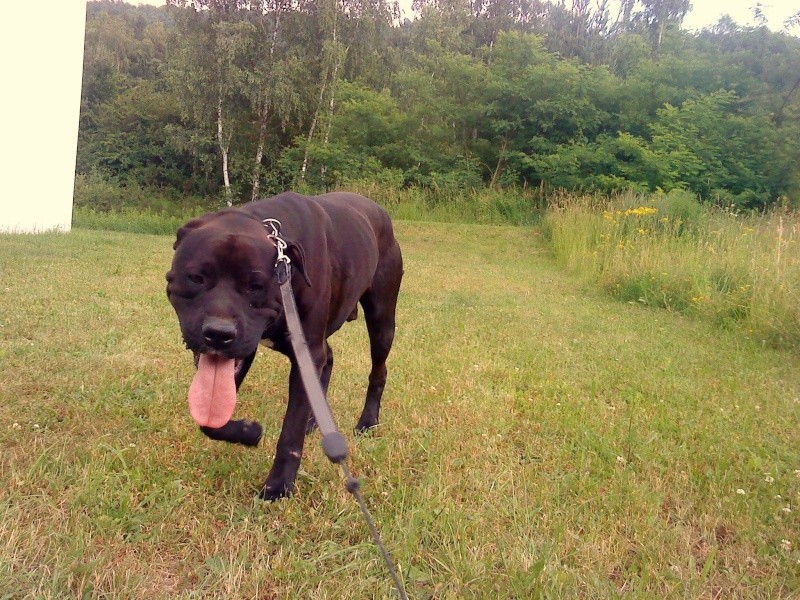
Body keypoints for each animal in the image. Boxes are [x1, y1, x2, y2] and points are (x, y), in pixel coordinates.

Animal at [166, 191, 404, 496]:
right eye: (196, 277)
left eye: (256, 286)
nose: (218, 333)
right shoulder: (251, 348)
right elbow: (210, 419)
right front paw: (248, 432)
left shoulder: (305, 350)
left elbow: (290, 431)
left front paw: (278, 486)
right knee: (329, 358)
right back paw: (315, 421)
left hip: (381, 318)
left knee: (378, 370)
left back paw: (367, 422)